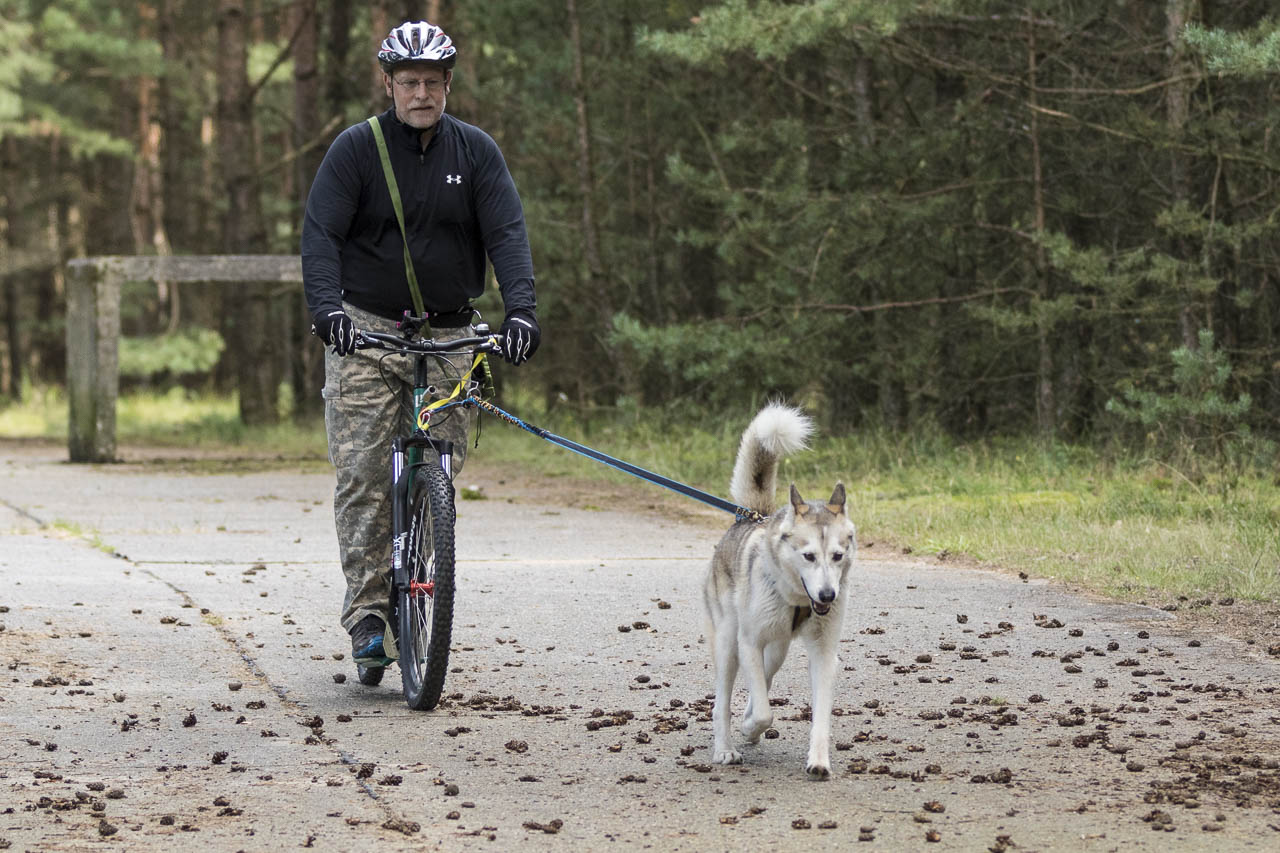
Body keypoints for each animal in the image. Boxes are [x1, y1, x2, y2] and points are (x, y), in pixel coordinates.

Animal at [706, 402, 855, 773]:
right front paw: (750, 727)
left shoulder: (824, 654)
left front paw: (819, 760)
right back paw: (725, 748)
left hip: (777, 650)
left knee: (765, 677)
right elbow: (763, 711)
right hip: (728, 644)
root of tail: (748, 516)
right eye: (808, 556)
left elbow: (820, 716)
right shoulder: (748, 642)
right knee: (722, 702)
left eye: (837, 555)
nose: (828, 595)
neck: (798, 599)